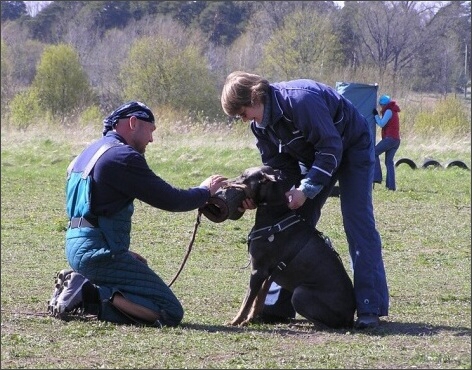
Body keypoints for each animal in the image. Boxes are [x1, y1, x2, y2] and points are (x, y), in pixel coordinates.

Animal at [202, 166, 354, 328]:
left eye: (243, 176)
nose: (224, 182)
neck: (276, 217)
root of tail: (350, 317)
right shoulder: (268, 275)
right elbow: (258, 300)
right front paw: (250, 319)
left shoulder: (258, 271)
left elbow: (246, 302)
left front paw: (236, 321)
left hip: (299, 293)